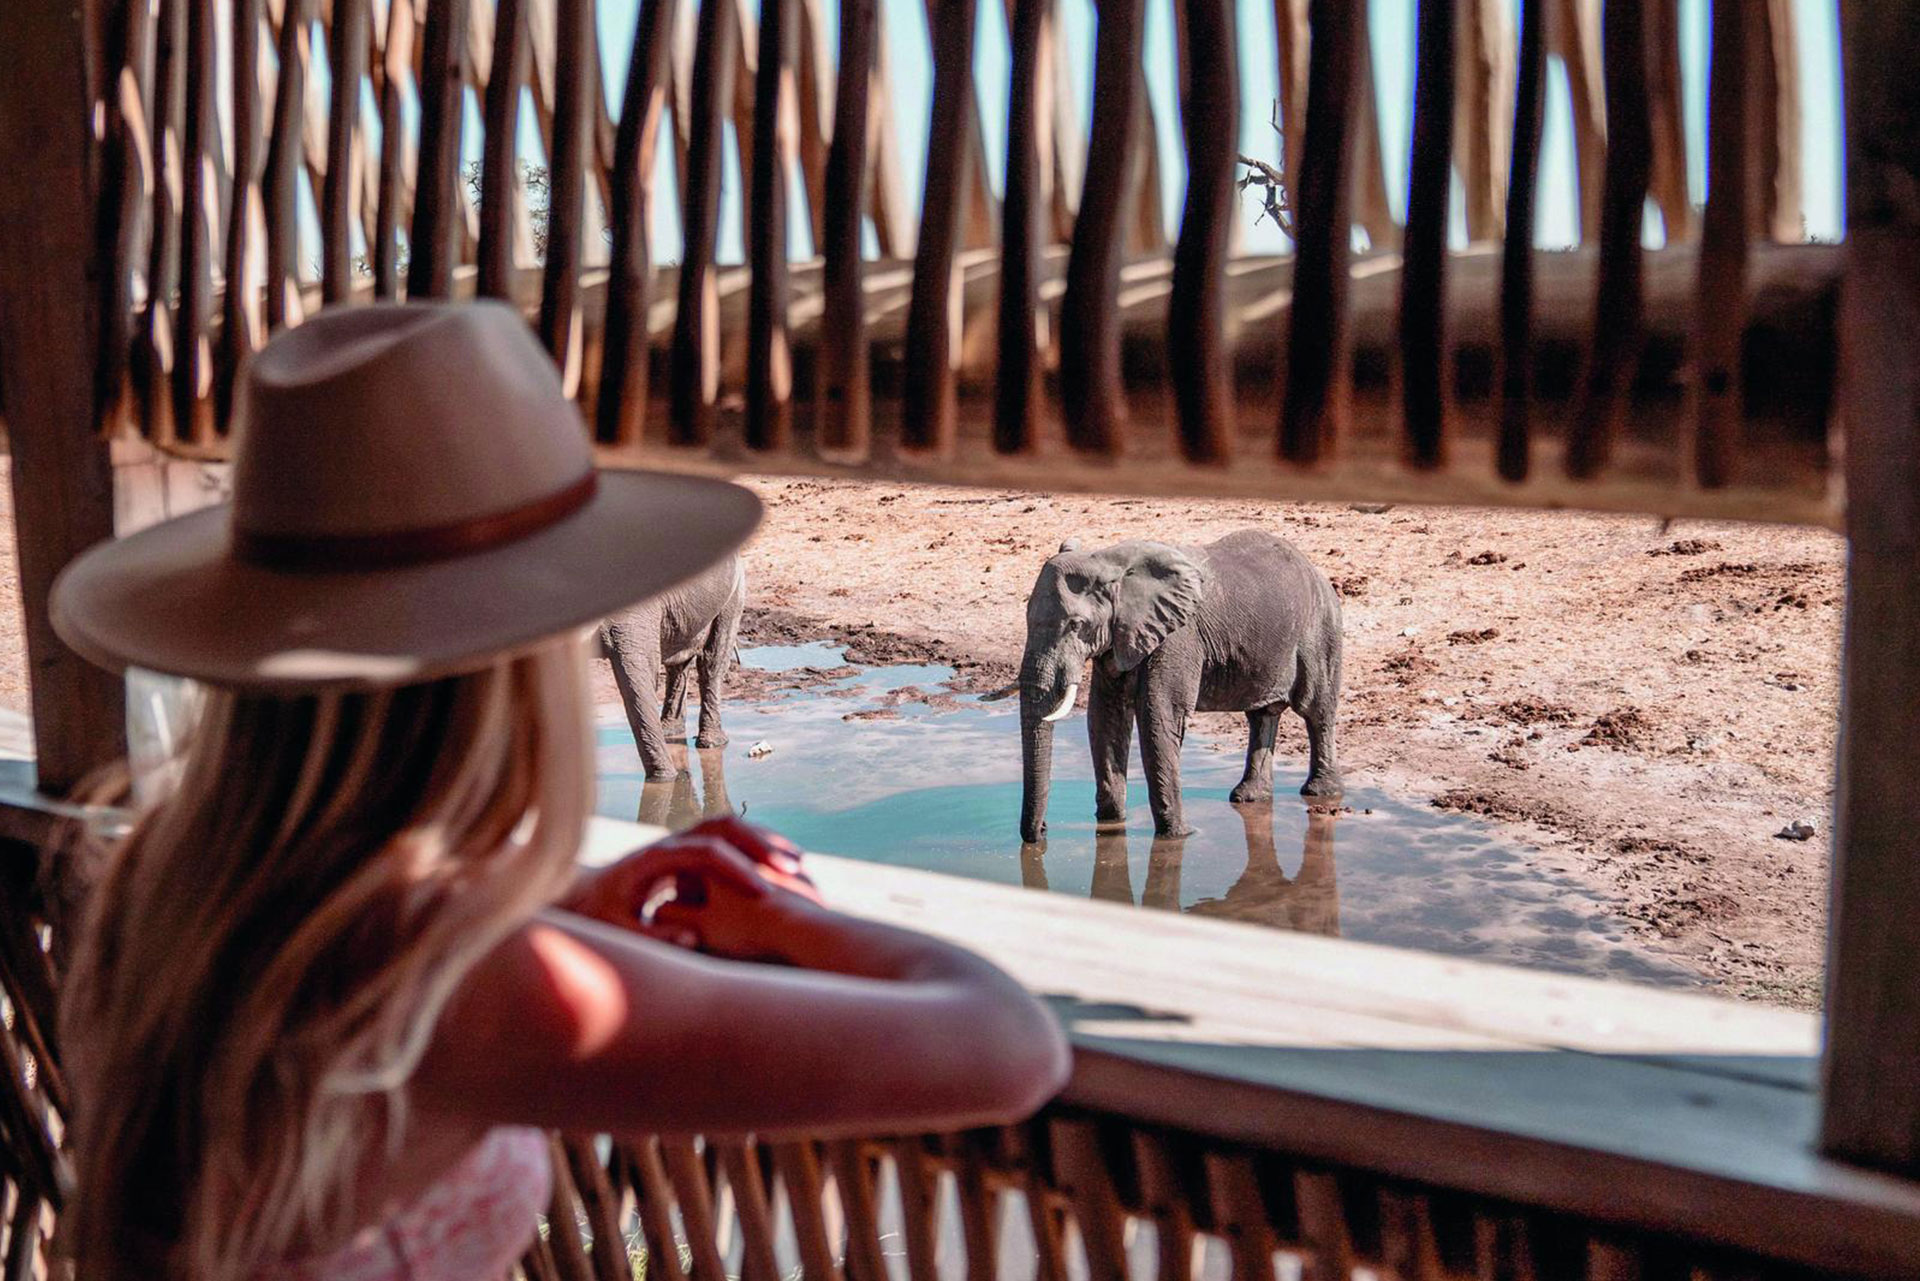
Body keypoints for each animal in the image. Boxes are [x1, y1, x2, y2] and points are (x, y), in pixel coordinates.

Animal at [601, 554, 745, 781]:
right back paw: (669, 733)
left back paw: (711, 743)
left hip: (734, 589)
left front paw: (664, 781)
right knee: (679, 662)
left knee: (712, 660)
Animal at [1017, 529, 1342, 842]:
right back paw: (1249, 797)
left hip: (1321, 627)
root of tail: (1315, 570)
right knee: (1262, 714)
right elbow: (1104, 718)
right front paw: (1110, 825)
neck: (1108, 560)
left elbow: (1159, 717)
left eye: (1076, 625)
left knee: (1316, 710)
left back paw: (1321, 791)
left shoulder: (1177, 635)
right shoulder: (1118, 639)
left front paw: (1178, 837)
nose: (1043, 830)